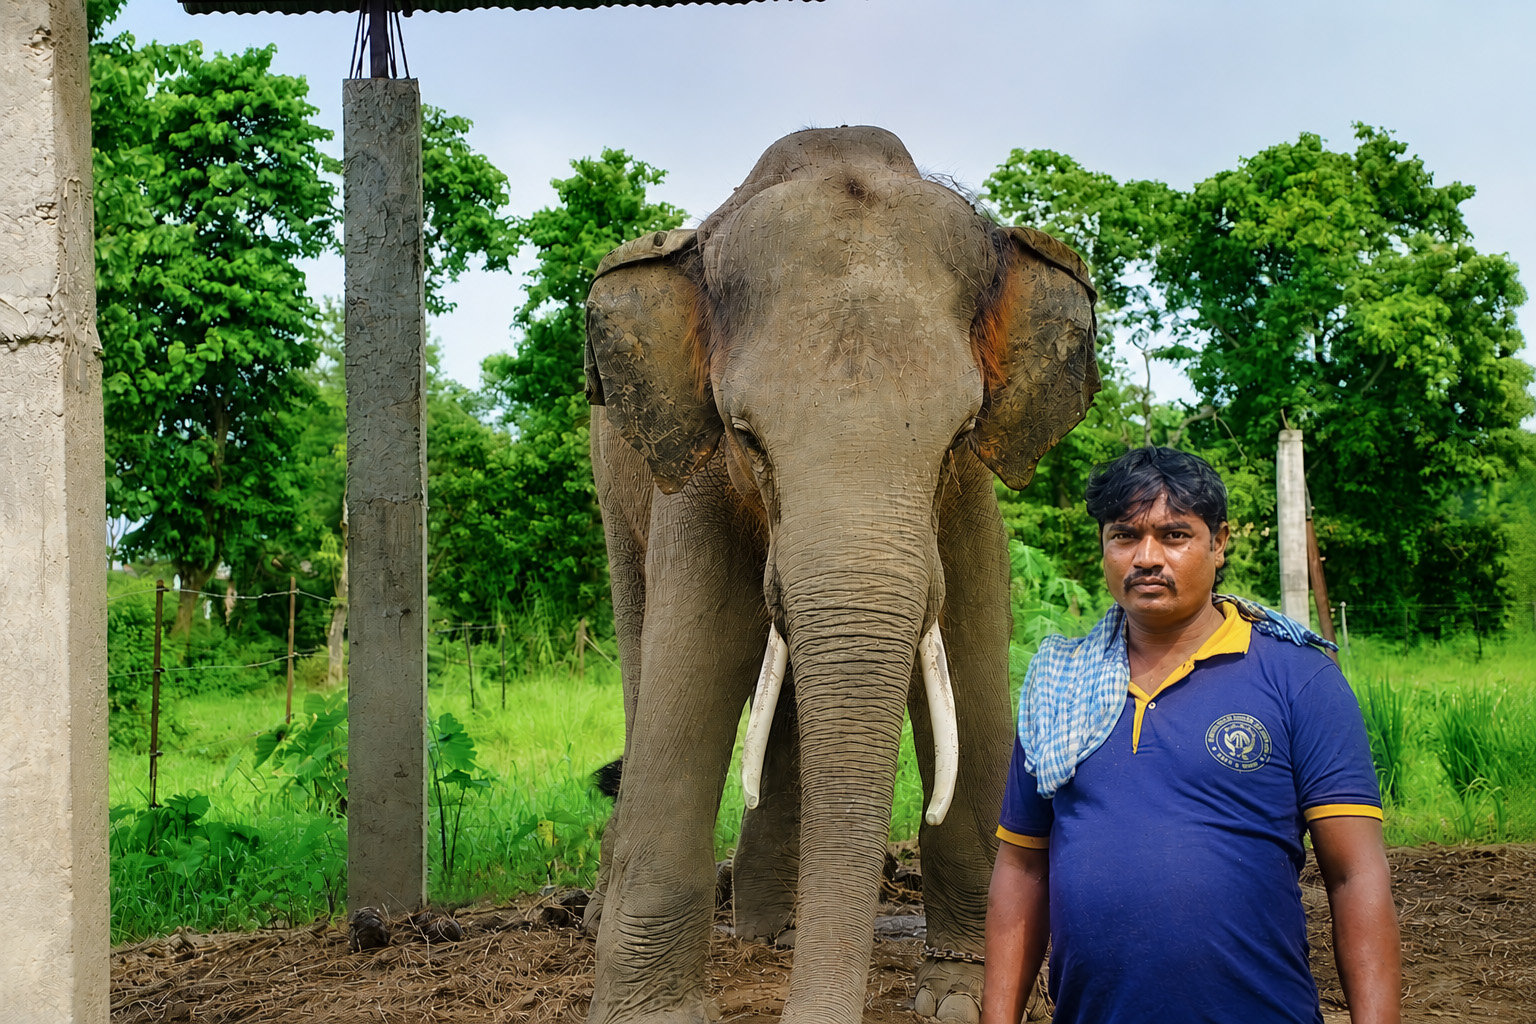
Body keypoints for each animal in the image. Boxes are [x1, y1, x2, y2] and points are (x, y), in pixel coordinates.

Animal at [582, 126, 1099, 1024]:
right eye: (746, 435)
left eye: (960, 431)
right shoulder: (701, 479)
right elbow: (698, 663)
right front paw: (651, 1017)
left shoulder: (968, 498)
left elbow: (971, 651)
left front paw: (961, 1001)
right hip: (616, 478)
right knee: (647, 651)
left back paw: (768, 932)